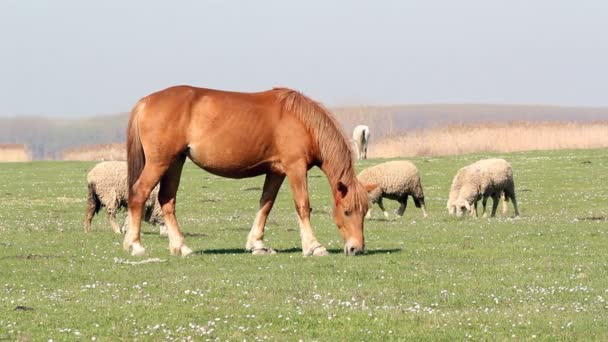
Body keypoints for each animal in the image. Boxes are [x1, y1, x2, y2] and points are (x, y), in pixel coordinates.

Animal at [123, 85, 372, 256]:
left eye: (364, 212)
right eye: (347, 211)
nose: (356, 248)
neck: (302, 122)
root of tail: (145, 102)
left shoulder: (276, 172)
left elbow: (265, 204)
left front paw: (257, 244)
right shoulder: (295, 168)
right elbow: (302, 206)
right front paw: (314, 246)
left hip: (175, 162)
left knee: (167, 200)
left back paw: (181, 247)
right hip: (159, 163)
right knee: (139, 193)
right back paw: (135, 245)